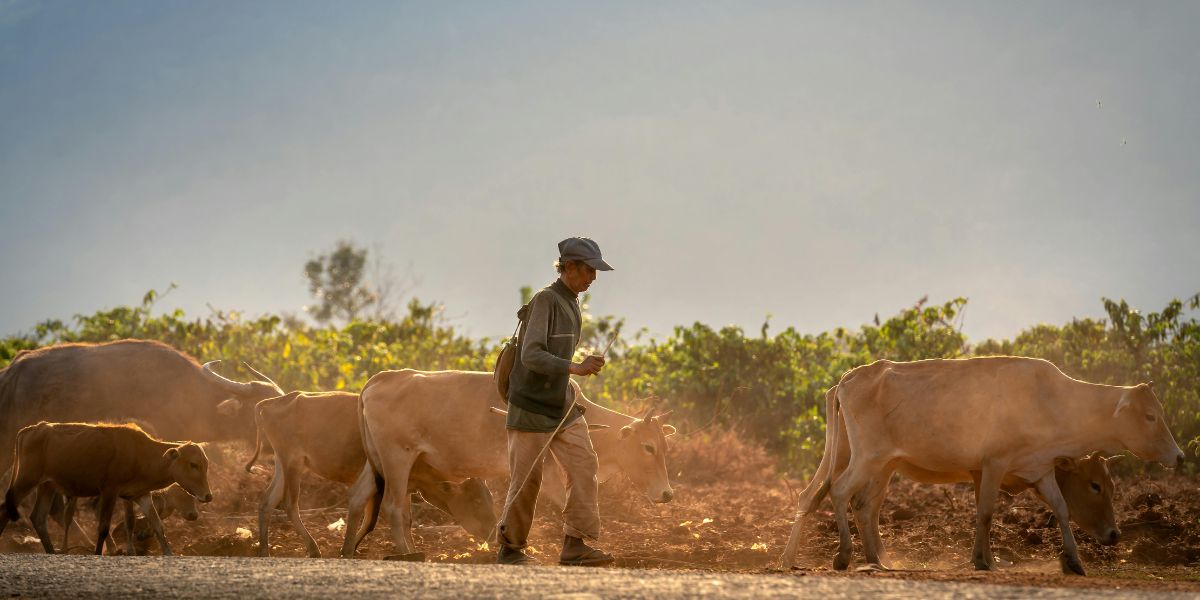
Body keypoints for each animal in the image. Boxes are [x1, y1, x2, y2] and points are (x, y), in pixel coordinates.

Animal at [0, 420, 213, 554]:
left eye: (206, 464)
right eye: (193, 464)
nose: (208, 496)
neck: (142, 454)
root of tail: (32, 429)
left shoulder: (141, 495)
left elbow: (158, 526)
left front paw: (169, 553)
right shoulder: (109, 491)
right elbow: (102, 528)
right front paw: (99, 553)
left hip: (47, 486)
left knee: (38, 518)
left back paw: (52, 552)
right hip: (26, 480)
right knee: (6, 509)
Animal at [243, 388, 496, 556]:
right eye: (475, 500)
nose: (494, 532)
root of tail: (273, 401)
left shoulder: (404, 485)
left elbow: (404, 519)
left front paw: (412, 550)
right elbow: (371, 516)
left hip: (282, 464)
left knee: (266, 502)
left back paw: (264, 550)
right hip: (292, 463)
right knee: (289, 504)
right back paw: (313, 548)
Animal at [340, 369, 676, 556]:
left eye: (664, 447)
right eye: (647, 447)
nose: (667, 494)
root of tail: (381, 379)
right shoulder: (547, 469)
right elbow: (561, 504)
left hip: (377, 462)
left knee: (357, 498)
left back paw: (347, 552)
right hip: (398, 459)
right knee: (395, 508)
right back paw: (409, 554)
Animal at [782, 357, 1185, 573]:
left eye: (1111, 485)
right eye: (1150, 416)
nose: (1179, 456)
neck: (1053, 401)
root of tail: (848, 379)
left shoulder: (1038, 466)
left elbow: (1060, 508)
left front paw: (1074, 560)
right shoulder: (993, 464)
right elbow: (987, 512)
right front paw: (983, 560)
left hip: (872, 461)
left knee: (841, 501)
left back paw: (871, 560)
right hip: (867, 457)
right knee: (839, 492)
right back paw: (843, 555)